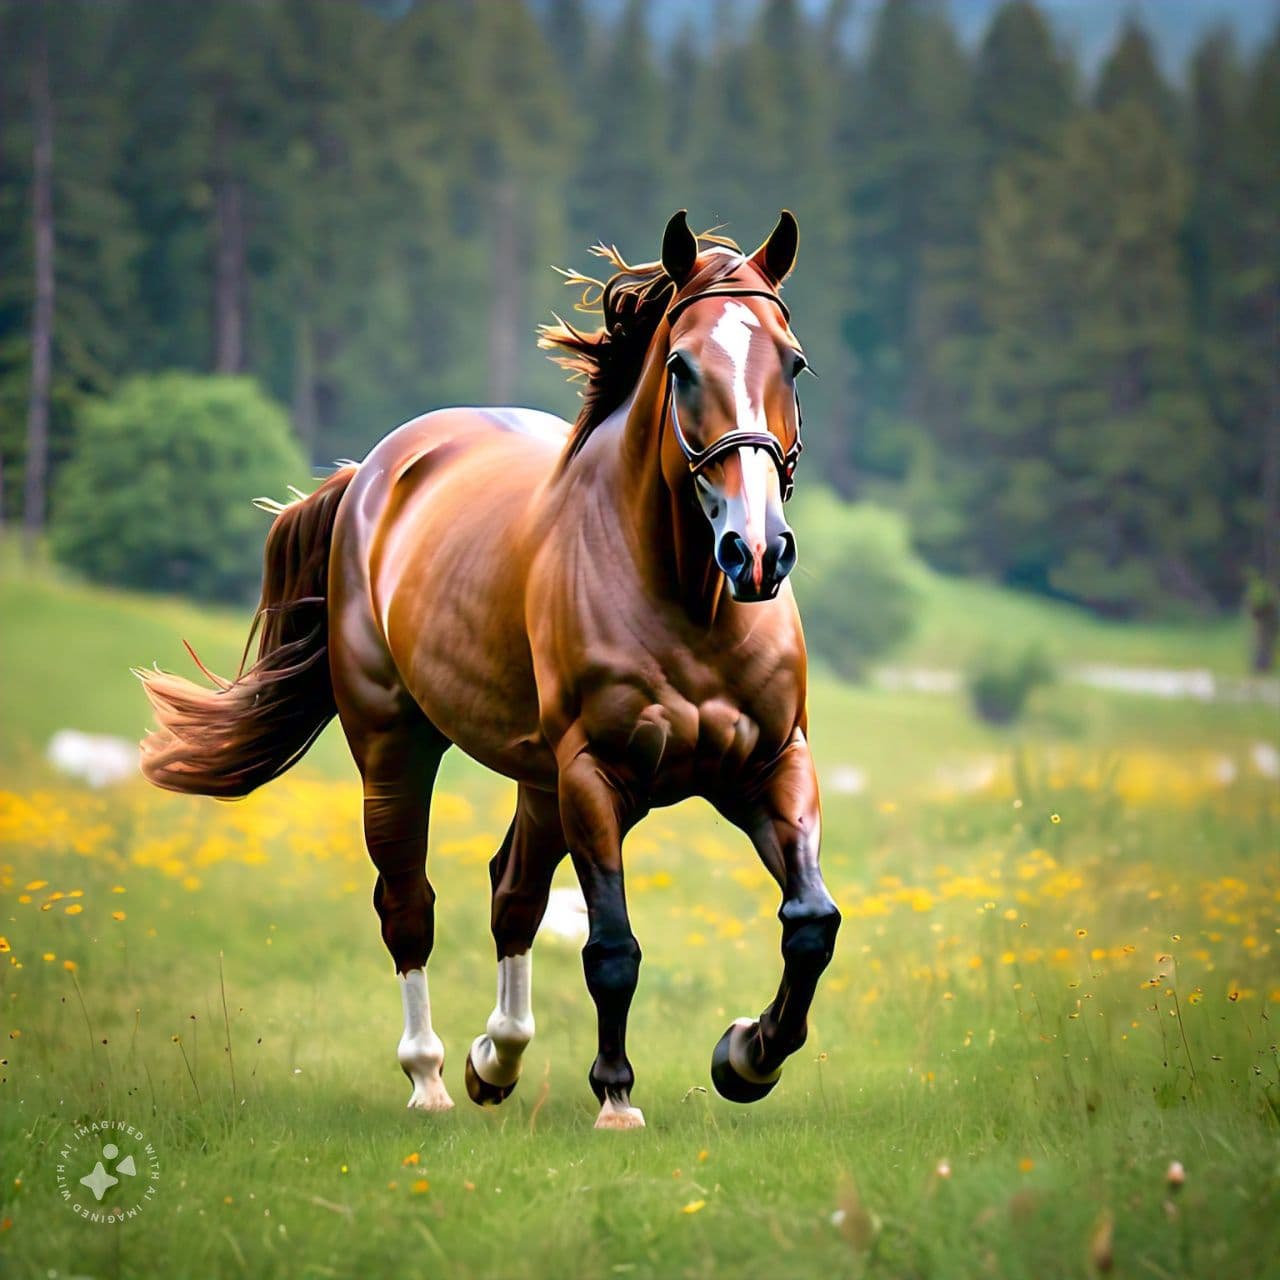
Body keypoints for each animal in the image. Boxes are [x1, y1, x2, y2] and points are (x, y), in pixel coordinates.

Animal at [137, 210, 841, 1130]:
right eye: (682, 366)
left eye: (793, 363)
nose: (756, 552)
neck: (691, 603)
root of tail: (369, 474)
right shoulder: (594, 775)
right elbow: (613, 947)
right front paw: (618, 1097)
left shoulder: (769, 763)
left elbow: (811, 921)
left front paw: (746, 1057)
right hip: (397, 747)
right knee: (409, 904)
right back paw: (432, 1077)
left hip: (540, 780)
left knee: (514, 895)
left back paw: (495, 1062)